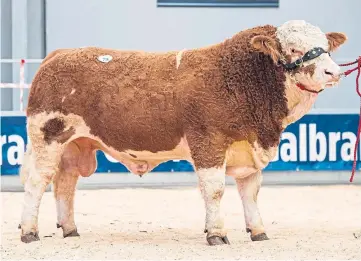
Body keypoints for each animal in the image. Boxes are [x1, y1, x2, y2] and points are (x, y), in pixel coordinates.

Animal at [19, 19, 346, 244]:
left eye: (326, 47)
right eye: (293, 49)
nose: (334, 72)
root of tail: (58, 55)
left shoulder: (250, 148)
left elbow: (251, 193)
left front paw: (258, 232)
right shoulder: (208, 142)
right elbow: (214, 190)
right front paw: (216, 234)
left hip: (75, 145)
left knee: (65, 183)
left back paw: (70, 229)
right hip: (48, 136)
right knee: (37, 181)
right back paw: (29, 231)